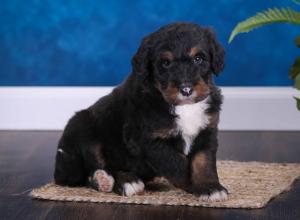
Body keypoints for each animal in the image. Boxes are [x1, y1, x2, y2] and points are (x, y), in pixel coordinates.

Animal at [54, 22, 227, 201]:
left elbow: (203, 161)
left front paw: (210, 187)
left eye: (198, 59)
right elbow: (176, 162)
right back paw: (118, 180)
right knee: (91, 167)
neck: (183, 107)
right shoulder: (146, 139)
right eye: (165, 63)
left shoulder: (207, 131)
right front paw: (192, 184)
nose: (186, 89)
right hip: (81, 126)